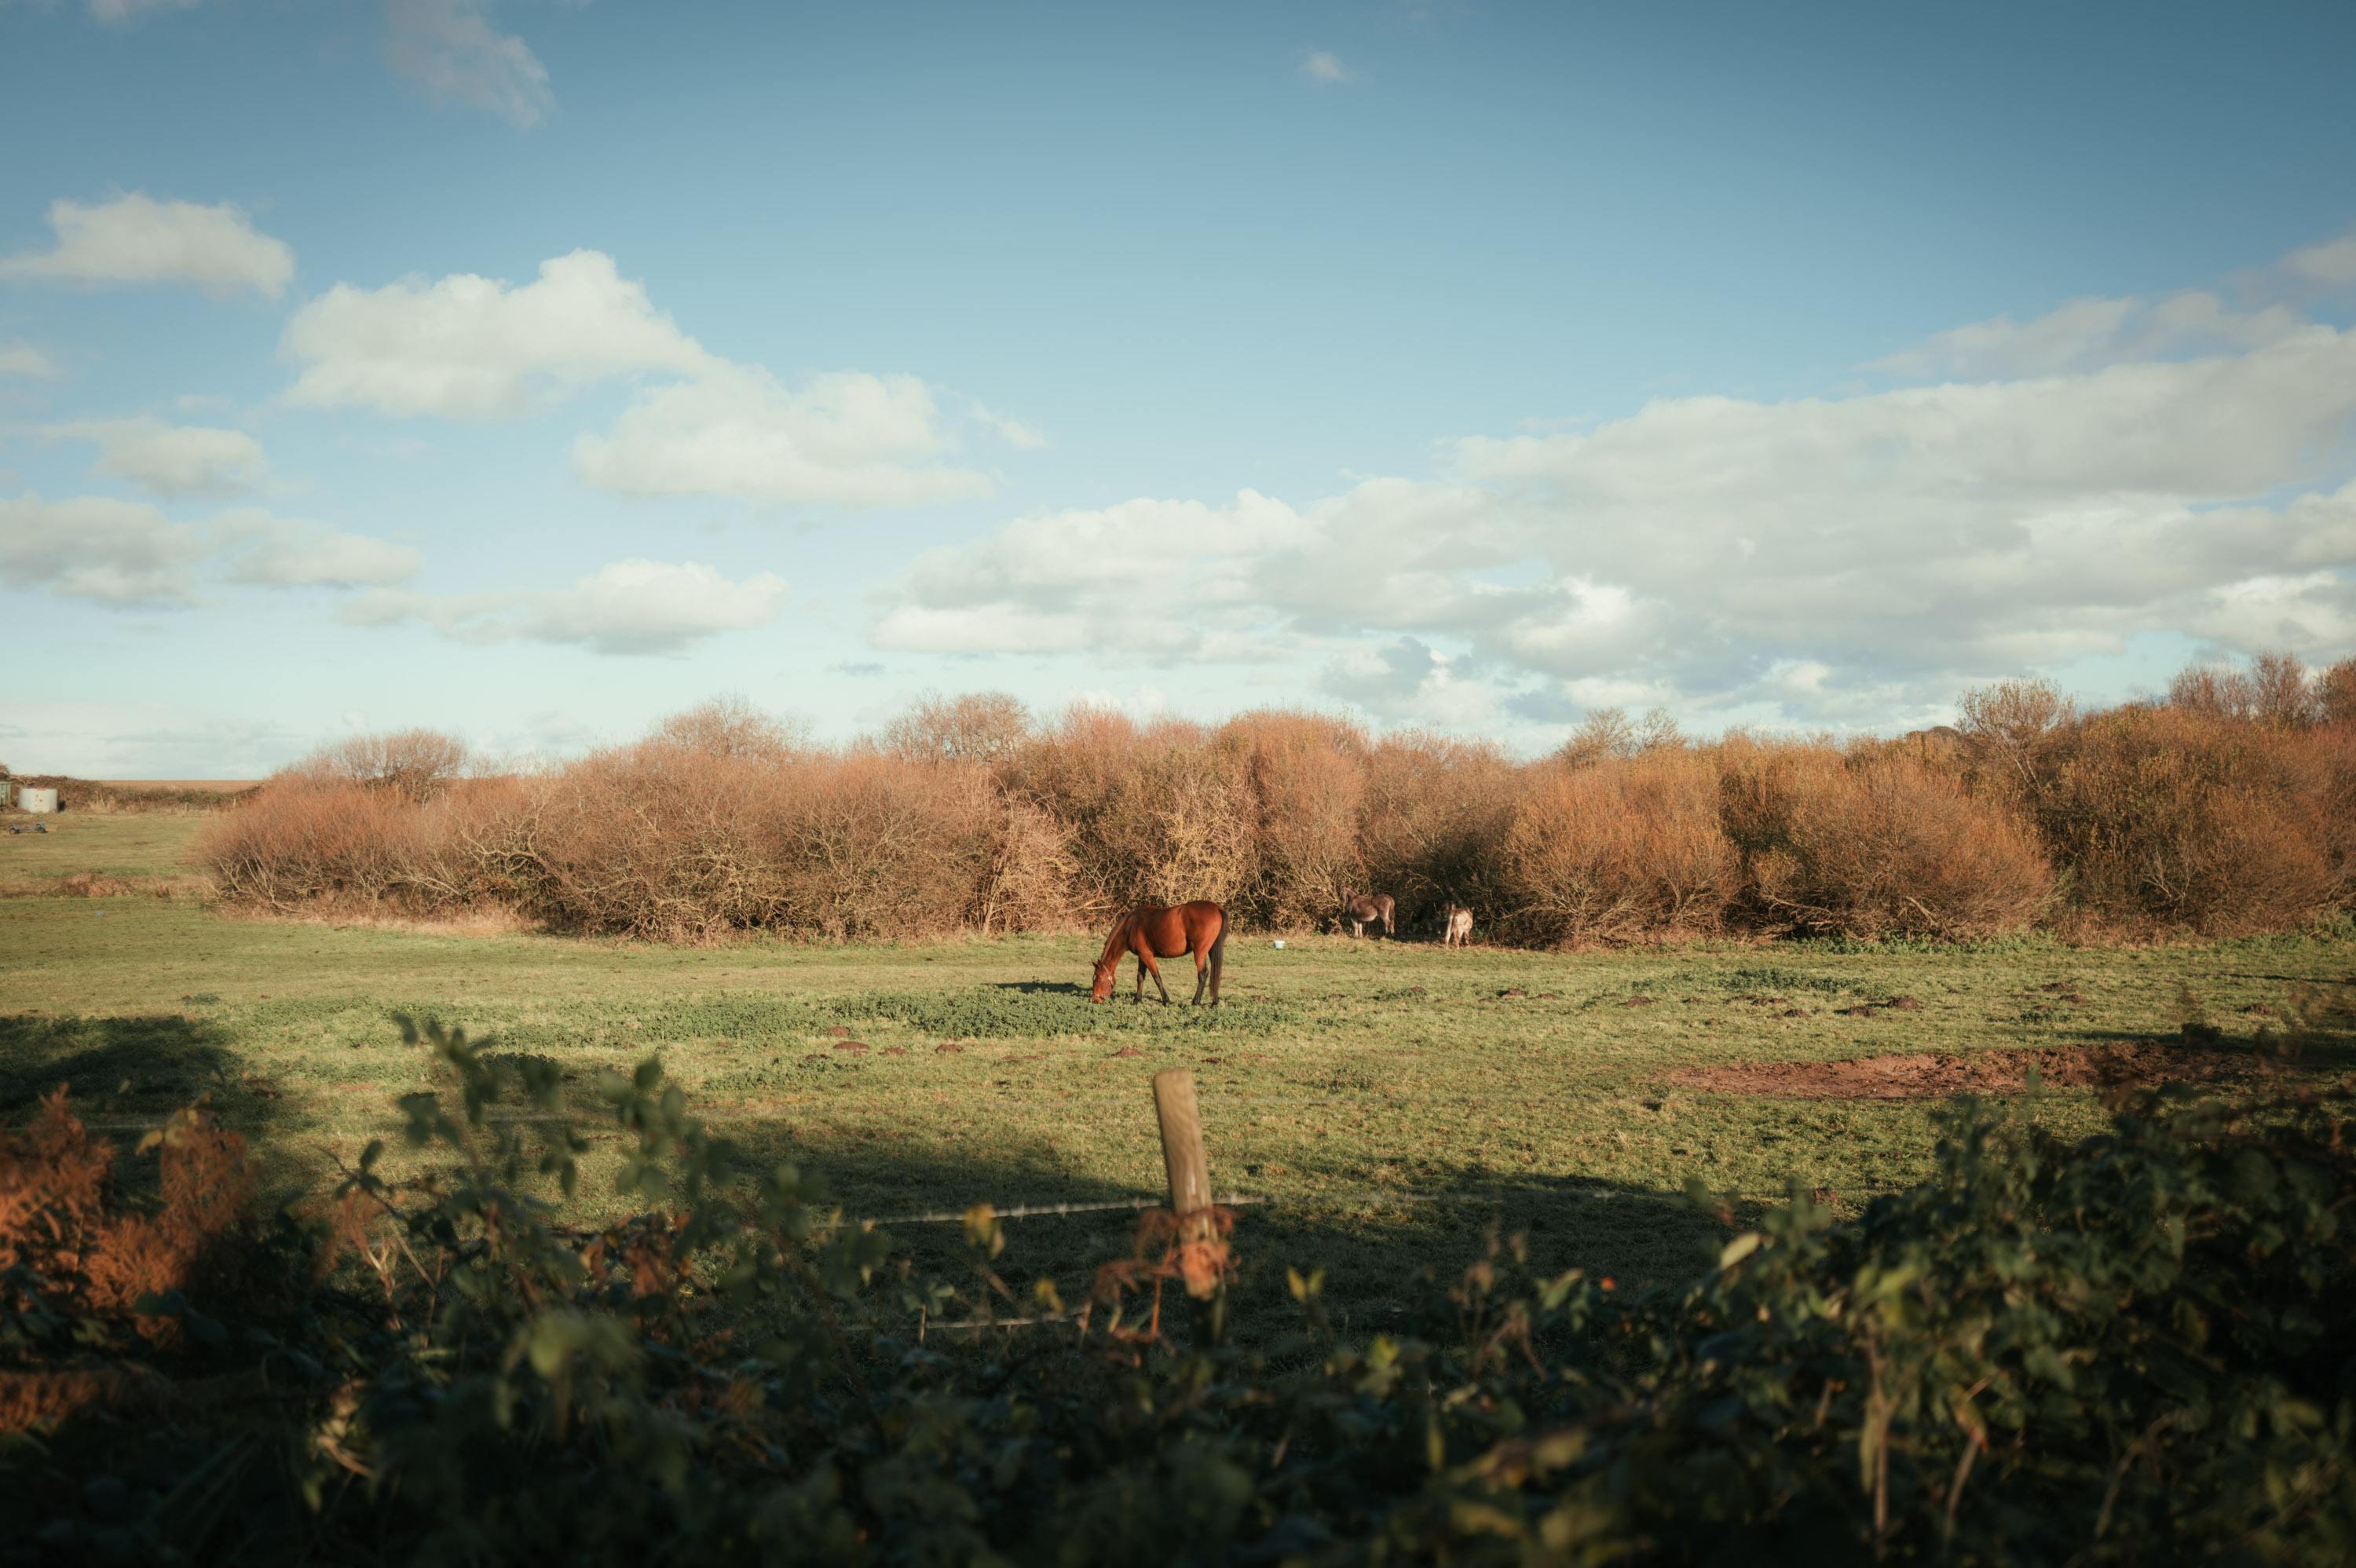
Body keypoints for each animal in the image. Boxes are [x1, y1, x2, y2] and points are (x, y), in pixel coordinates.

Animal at [1090, 901, 1228, 1006]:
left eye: (1099, 980)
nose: (1096, 1000)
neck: (1131, 926)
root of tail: (1216, 908)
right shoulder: (1142, 957)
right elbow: (1140, 977)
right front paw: (1137, 1000)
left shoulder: (1147, 956)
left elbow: (1157, 977)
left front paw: (1166, 1001)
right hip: (1210, 950)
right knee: (1215, 973)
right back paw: (1215, 1002)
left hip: (1199, 951)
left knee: (1203, 973)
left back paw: (1195, 1001)